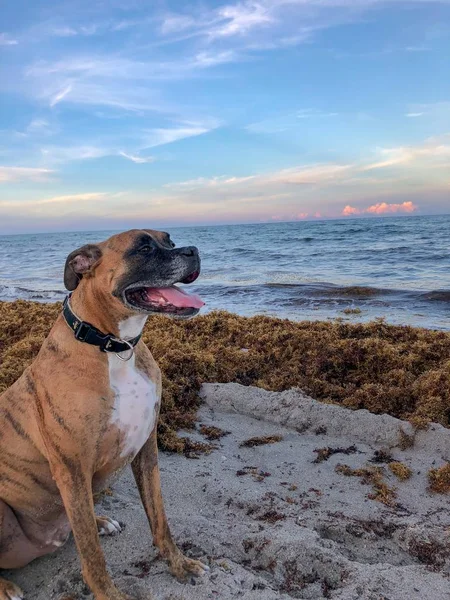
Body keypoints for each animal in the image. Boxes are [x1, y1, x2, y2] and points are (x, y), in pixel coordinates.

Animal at [0, 229, 207, 600]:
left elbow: (160, 519)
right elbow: (92, 554)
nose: (193, 250)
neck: (113, 347)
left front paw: (179, 564)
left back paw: (100, 521)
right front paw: (109, 594)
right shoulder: (71, 467)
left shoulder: (146, 449)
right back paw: (6, 586)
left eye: (169, 241)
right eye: (143, 247)